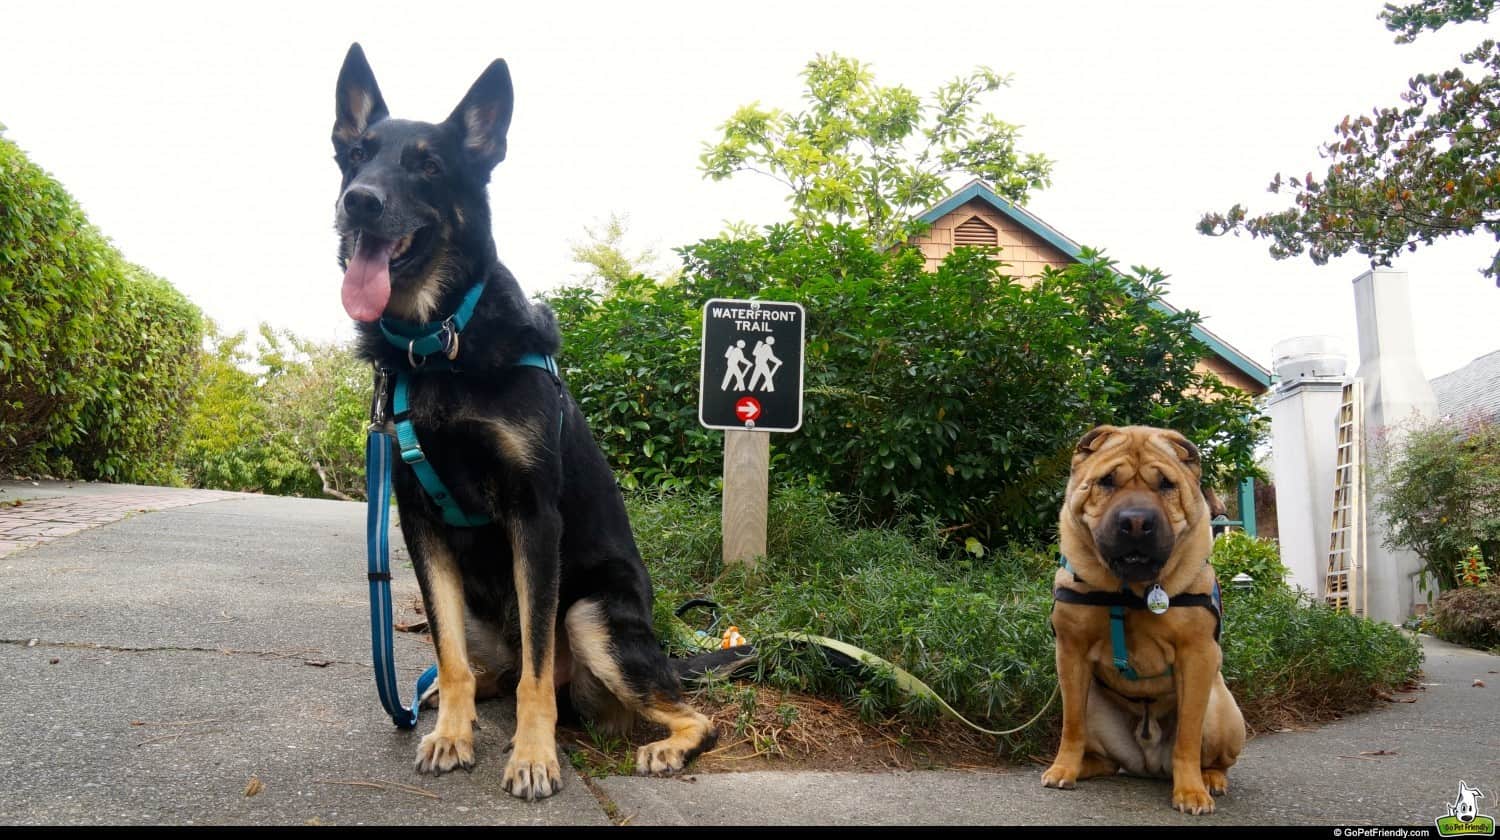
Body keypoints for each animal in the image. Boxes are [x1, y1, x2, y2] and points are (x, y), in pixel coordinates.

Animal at [336, 44, 720, 798]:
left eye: (428, 165)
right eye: (357, 155)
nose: (356, 201)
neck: (441, 344)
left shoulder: (534, 518)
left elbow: (537, 675)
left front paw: (534, 755)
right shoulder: (420, 522)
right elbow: (451, 655)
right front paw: (453, 736)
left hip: (593, 616)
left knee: (691, 712)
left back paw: (666, 746)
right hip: (478, 610)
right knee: (477, 666)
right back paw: (445, 700)